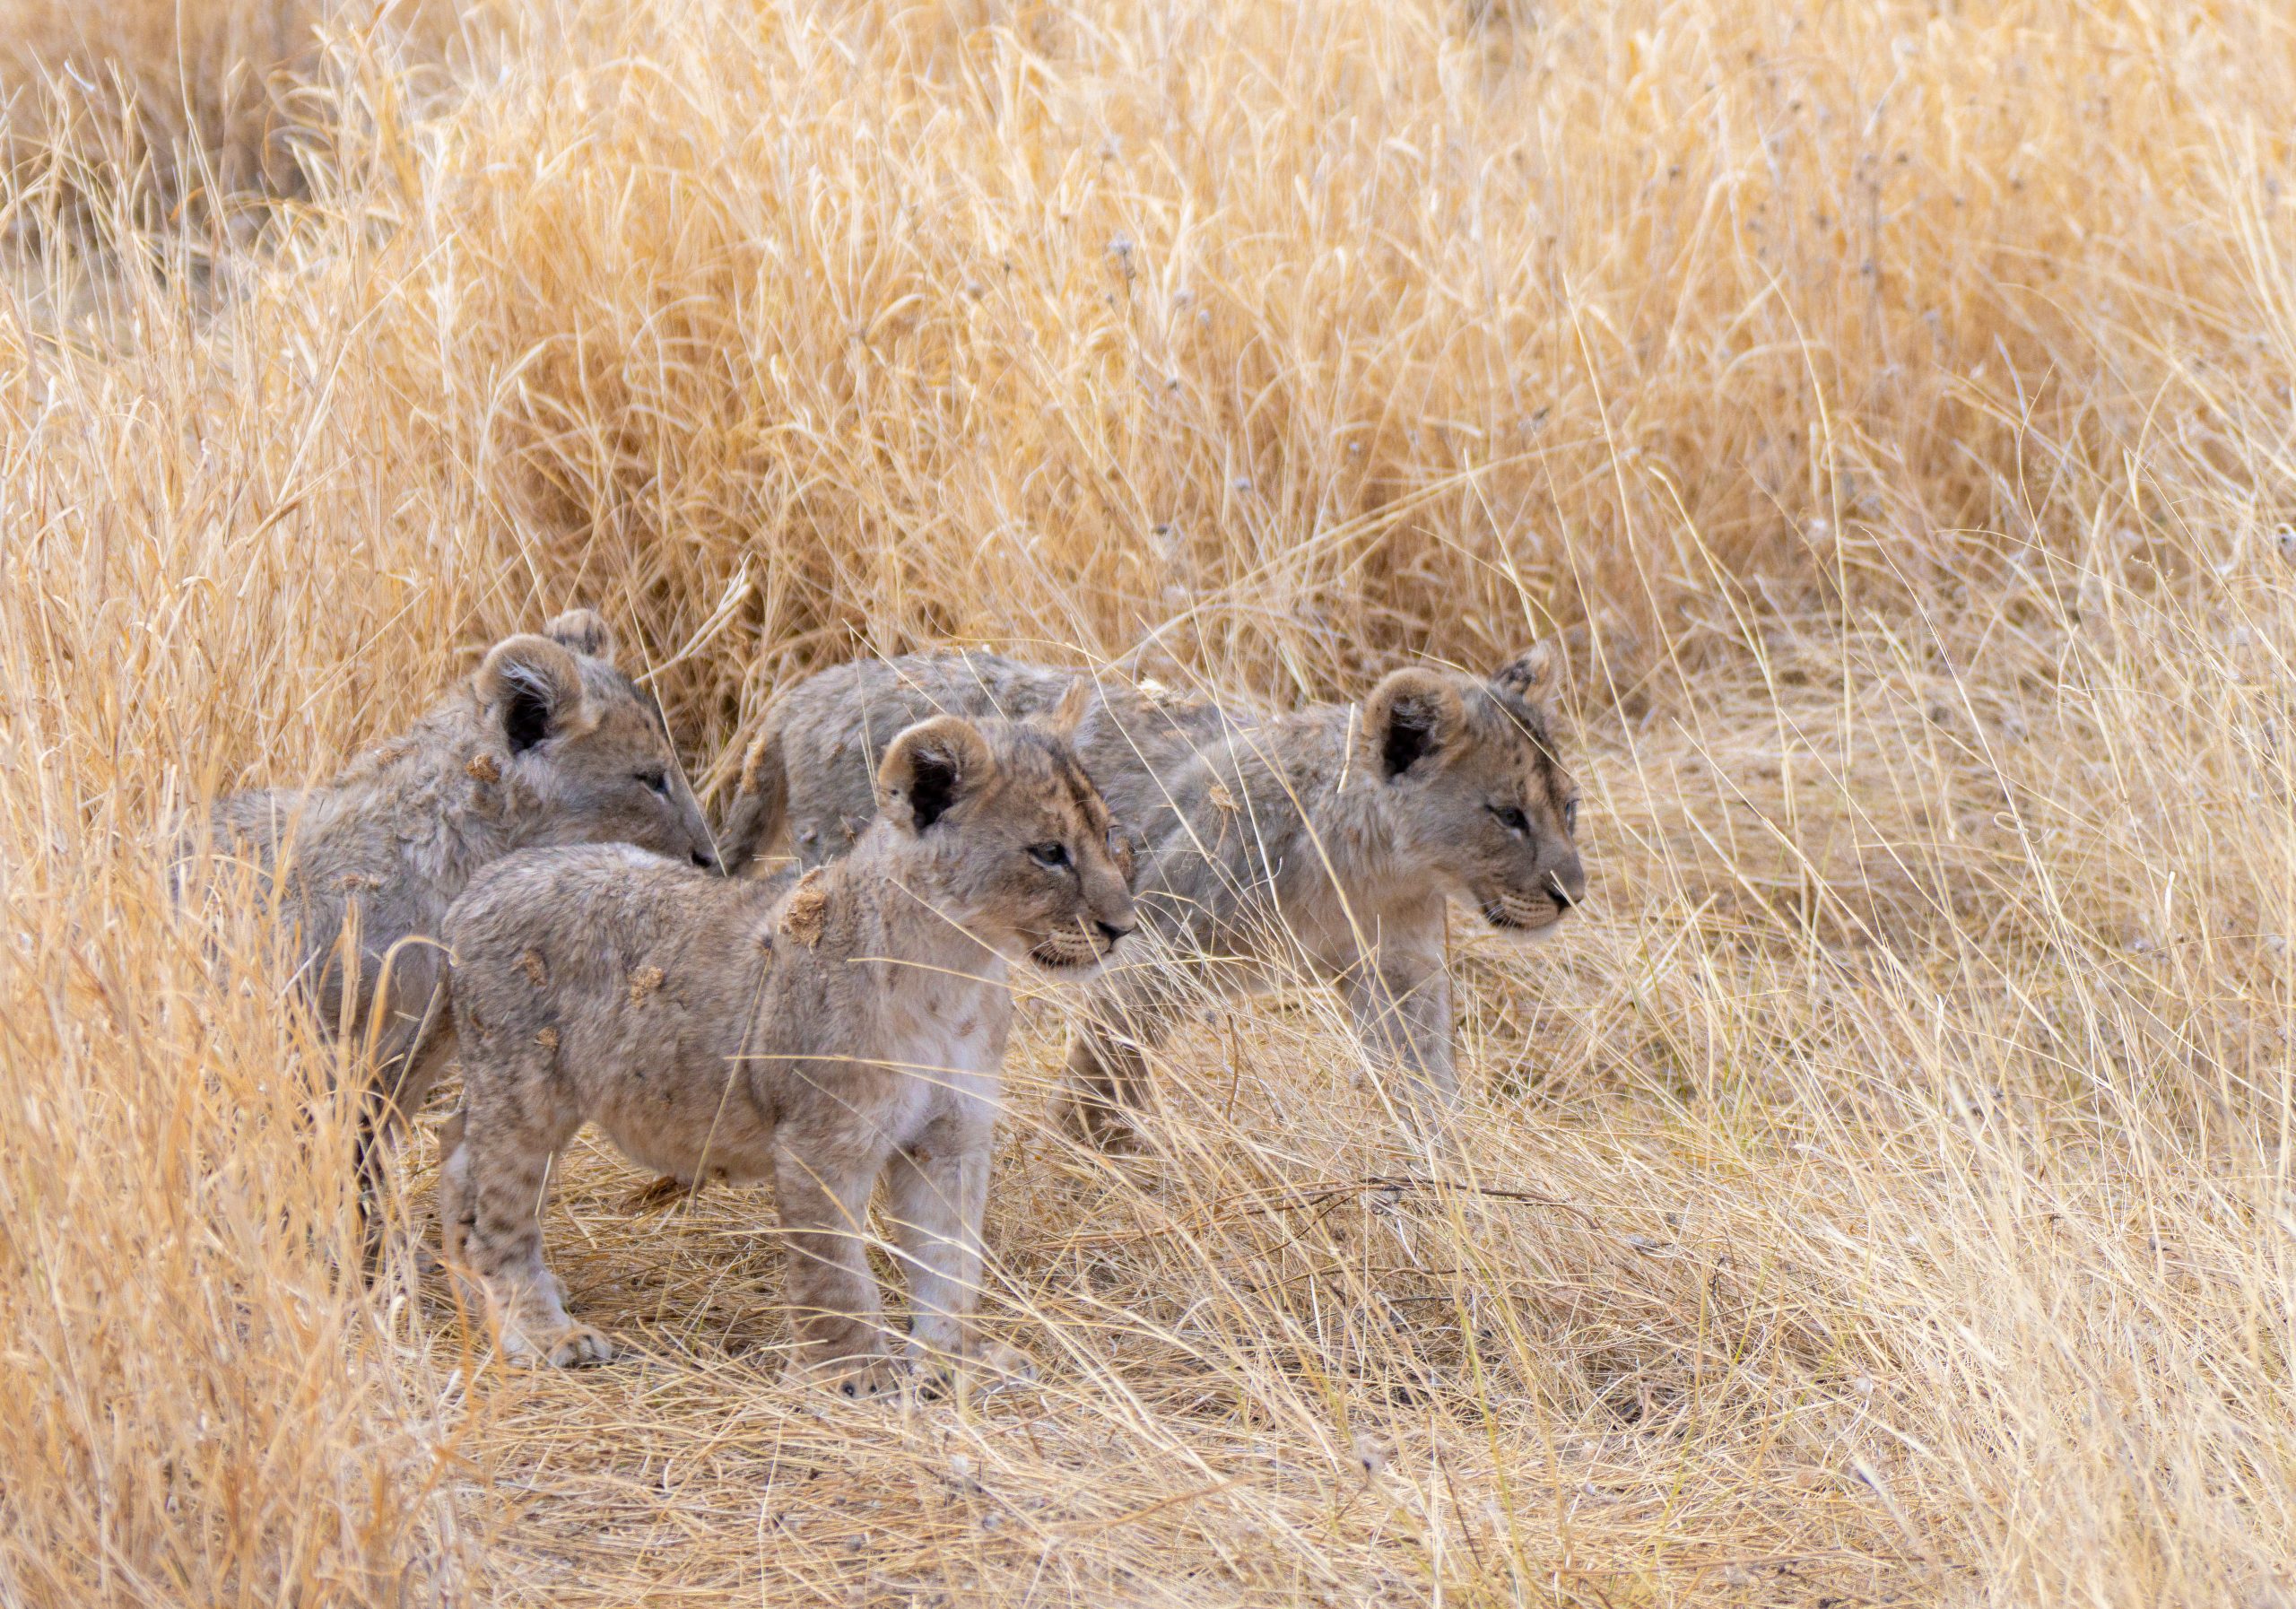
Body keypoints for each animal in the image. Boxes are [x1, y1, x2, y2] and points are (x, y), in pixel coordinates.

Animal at [431, 699, 1135, 1381]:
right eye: (1049, 852)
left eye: (1107, 835)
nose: (1123, 928)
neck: (956, 968)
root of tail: (484, 881)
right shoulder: (822, 1142)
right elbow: (835, 1274)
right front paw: (858, 1377)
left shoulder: (952, 1135)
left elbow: (950, 1260)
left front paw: (957, 1360)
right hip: (526, 1098)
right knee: (500, 1219)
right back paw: (544, 1332)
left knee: (459, 1158)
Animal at [718, 646, 1584, 1144]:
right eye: (1508, 815)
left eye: (1568, 807)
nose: (1571, 895)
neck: (1374, 863)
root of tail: (802, 693)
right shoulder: (1156, 947)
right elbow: (1104, 1072)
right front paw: (1087, 1163)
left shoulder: (1398, 969)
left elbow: (1424, 1075)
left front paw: (1448, 1176)